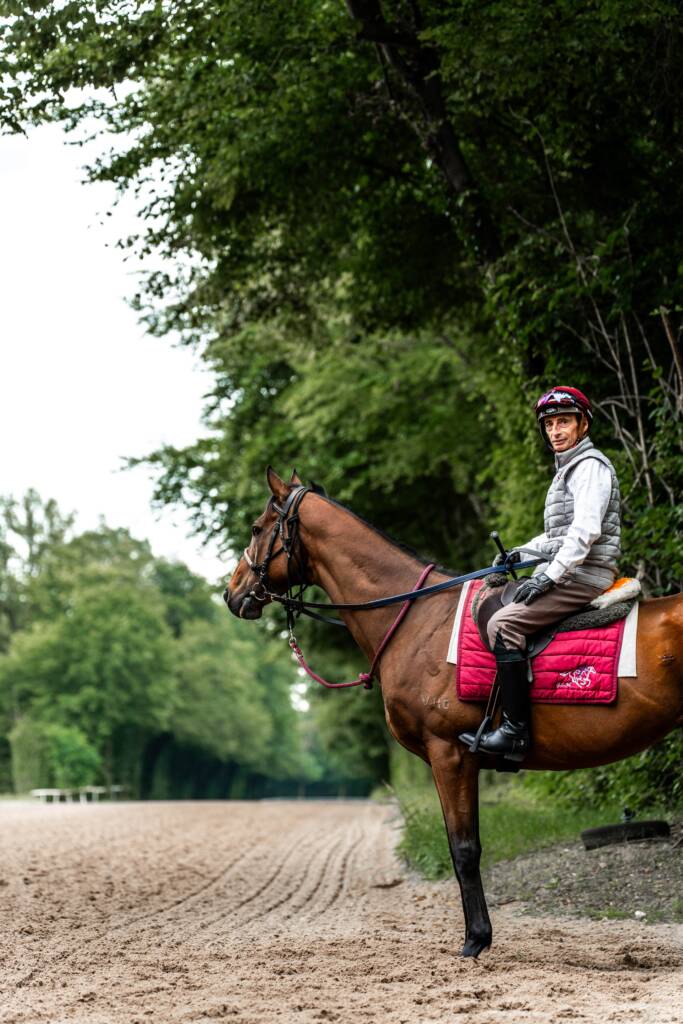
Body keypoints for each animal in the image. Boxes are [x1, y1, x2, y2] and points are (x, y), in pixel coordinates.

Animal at [224, 468, 683, 954]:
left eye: (256, 527)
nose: (232, 593)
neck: (416, 618)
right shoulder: (461, 760)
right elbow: (465, 844)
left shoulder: (449, 754)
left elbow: (463, 850)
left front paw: (475, 940)